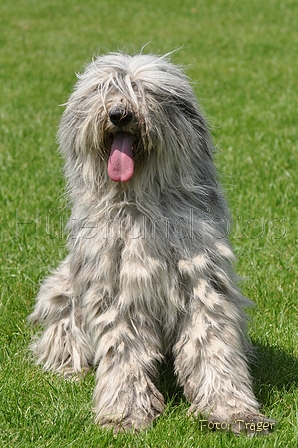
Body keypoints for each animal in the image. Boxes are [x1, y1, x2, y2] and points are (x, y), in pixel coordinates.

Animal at [29, 52, 274, 434]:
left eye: (143, 91)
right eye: (104, 89)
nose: (119, 114)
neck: (139, 201)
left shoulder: (202, 279)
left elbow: (212, 344)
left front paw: (232, 410)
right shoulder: (117, 290)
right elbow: (124, 353)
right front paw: (125, 413)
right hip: (60, 293)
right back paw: (68, 369)